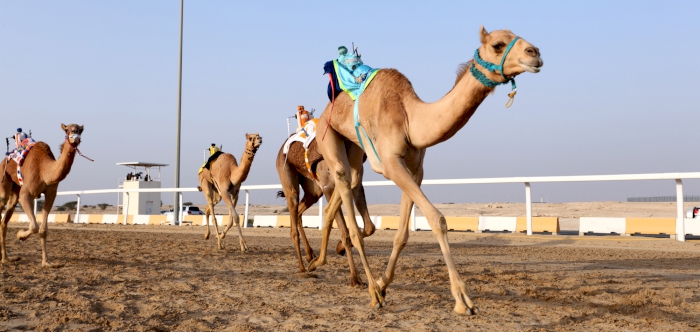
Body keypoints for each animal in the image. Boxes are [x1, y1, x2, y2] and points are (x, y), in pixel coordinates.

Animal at [0, 122, 85, 268]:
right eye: (67, 130)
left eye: (80, 130)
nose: (75, 136)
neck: (44, 171)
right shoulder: (26, 193)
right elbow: (34, 226)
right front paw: (20, 235)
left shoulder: (51, 194)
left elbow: (43, 229)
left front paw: (47, 262)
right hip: (4, 181)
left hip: (15, 192)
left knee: (4, 222)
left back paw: (6, 259)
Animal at [274, 139, 374, 286]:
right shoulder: (328, 187)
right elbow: (345, 232)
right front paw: (355, 278)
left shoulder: (355, 184)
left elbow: (369, 227)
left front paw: (339, 248)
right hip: (289, 178)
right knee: (293, 222)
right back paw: (302, 268)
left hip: (313, 191)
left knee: (298, 213)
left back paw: (310, 255)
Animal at [308, 27, 544, 316]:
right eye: (498, 45)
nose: (535, 53)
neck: (411, 118)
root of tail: (325, 110)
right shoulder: (392, 164)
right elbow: (437, 219)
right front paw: (463, 300)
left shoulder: (415, 169)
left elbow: (402, 235)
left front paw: (384, 282)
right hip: (328, 135)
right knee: (346, 197)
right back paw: (370, 291)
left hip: (353, 148)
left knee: (345, 190)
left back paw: (319, 262)